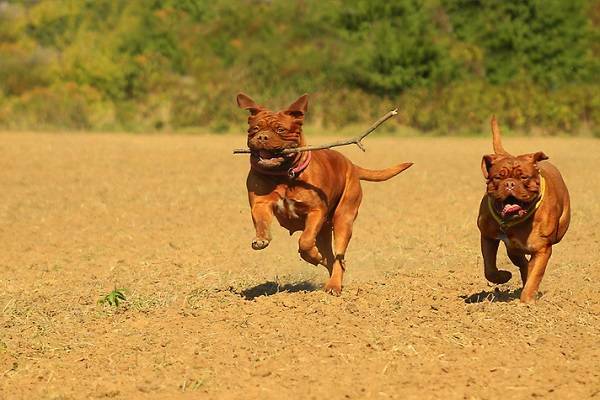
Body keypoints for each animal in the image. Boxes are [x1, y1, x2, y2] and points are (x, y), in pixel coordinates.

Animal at [236, 93, 412, 294]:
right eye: (254, 128)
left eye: (281, 129)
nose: (262, 137)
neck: (284, 174)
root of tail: (352, 166)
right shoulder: (261, 204)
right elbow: (262, 222)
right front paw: (261, 239)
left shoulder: (315, 212)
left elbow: (305, 241)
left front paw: (313, 256)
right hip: (325, 231)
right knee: (332, 259)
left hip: (344, 219)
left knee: (338, 257)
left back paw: (333, 285)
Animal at [476, 118, 568, 304]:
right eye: (498, 177)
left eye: (524, 177)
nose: (510, 183)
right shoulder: (488, 236)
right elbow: (489, 268)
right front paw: (503, 276)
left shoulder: (542, 249)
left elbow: (535, 275)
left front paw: (526, 302)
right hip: (512, 248)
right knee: (522, 263)